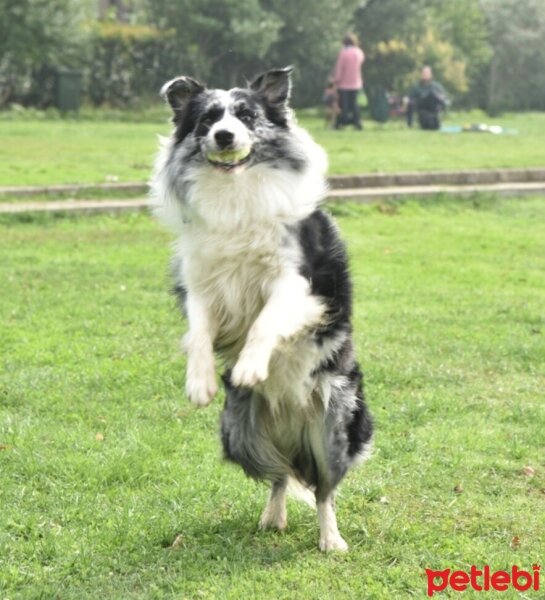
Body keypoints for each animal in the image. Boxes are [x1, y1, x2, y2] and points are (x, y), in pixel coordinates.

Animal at [151, 68, 372, 552]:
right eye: (207, 119)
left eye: (247, 116)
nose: (224, 135)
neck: (236, 191)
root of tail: (290, 424)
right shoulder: (201, 282)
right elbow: (199, 333)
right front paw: (200, 383)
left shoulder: (297, 283)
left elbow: (265, 322)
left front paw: (251, 367)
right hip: (240, 432)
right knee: (279, 474)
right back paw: (273, 517)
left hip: (334, 423)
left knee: (324, 488)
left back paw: (331, 540)